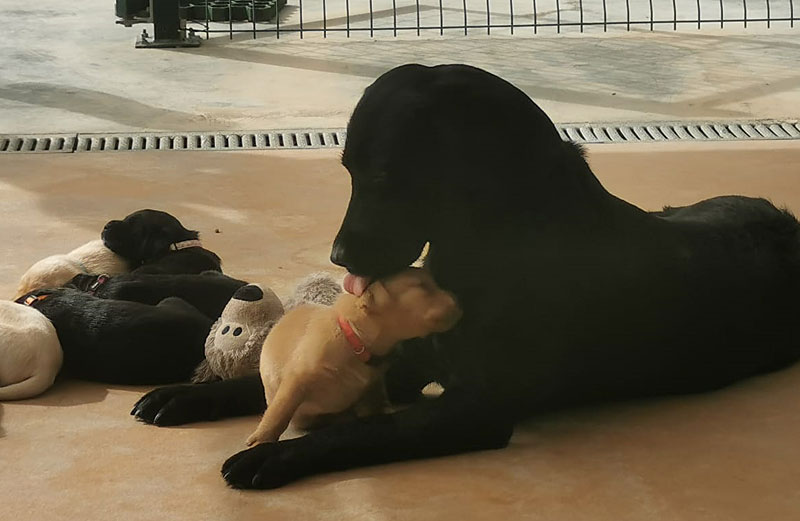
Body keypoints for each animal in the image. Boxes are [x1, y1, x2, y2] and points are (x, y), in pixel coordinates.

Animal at [248, 266, 462, 444]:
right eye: (421, 286)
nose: (459, 301)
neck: (355, 340)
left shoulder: (373, 383)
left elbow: (374, 402)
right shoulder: (298, 377)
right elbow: (280, 410)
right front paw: (261, 439)